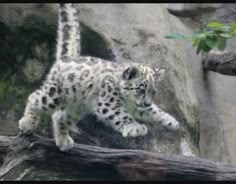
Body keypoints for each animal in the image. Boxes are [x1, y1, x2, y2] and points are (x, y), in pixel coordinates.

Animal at [19, 3, 180, 152]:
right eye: (141, 89)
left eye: (153, 91)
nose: (146, 103)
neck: (128, 101)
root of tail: (67, 58)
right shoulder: (108, 102)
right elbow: (122, 115)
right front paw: (135, 128)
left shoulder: (136, 106)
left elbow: (155, 111)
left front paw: (172, 122)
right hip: (55, 94)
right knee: (35, 98)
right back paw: (27, 124)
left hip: (75, 107)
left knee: (59, 116)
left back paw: (64, 141)